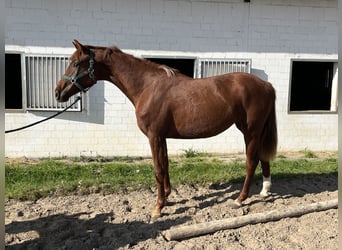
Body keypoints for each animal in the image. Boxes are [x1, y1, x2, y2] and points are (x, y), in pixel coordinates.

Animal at [54, 40, 276, 218]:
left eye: (75, 63)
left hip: (251, 131)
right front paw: (168, 197)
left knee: (251, 162)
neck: (148, 86)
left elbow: (158, 169)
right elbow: (166, 164)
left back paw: (240, 199)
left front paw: (158, 208)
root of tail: (266, 85)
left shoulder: (154, 136)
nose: (58, 93)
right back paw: (265, 190)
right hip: (255, 131)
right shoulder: (163, 137)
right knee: (262, 158)